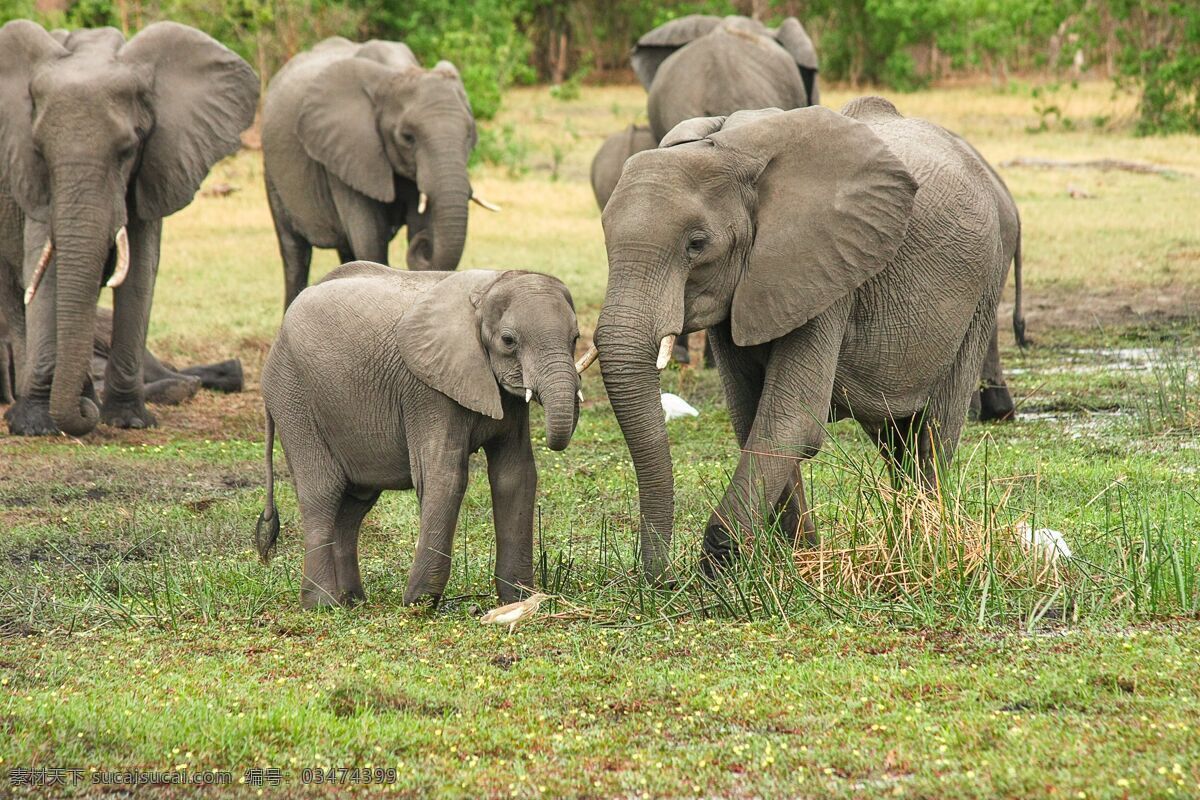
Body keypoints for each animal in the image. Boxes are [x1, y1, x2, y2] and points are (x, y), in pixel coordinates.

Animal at [255, 261, 583, 606]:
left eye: (575, 338)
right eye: (508, 341)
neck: (487, 289)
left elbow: (515, 476)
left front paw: (518, 600)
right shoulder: (427, 390)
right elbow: (445, 476)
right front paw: (419, 603)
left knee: (354, 504)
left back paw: (353, 601)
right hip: (292, 395)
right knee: (322, 492)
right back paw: (323, 605)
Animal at [262, 37, 496, 309]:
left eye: (469, 134)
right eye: (407, 137)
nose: (424, 244)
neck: (397, 72)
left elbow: (415, 224)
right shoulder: (348, 151)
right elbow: (369, 239)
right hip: (272, 172)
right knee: (295, 253)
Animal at [585, 98, 1017, 582]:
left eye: (696, 244)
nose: (662, 579)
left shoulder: (826, 268)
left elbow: (790, 419)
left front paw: (720, 567)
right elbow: (752, 416)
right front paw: (799, 559)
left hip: (984, 285)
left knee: (932, 429)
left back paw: (925, 541)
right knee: (895, 438)